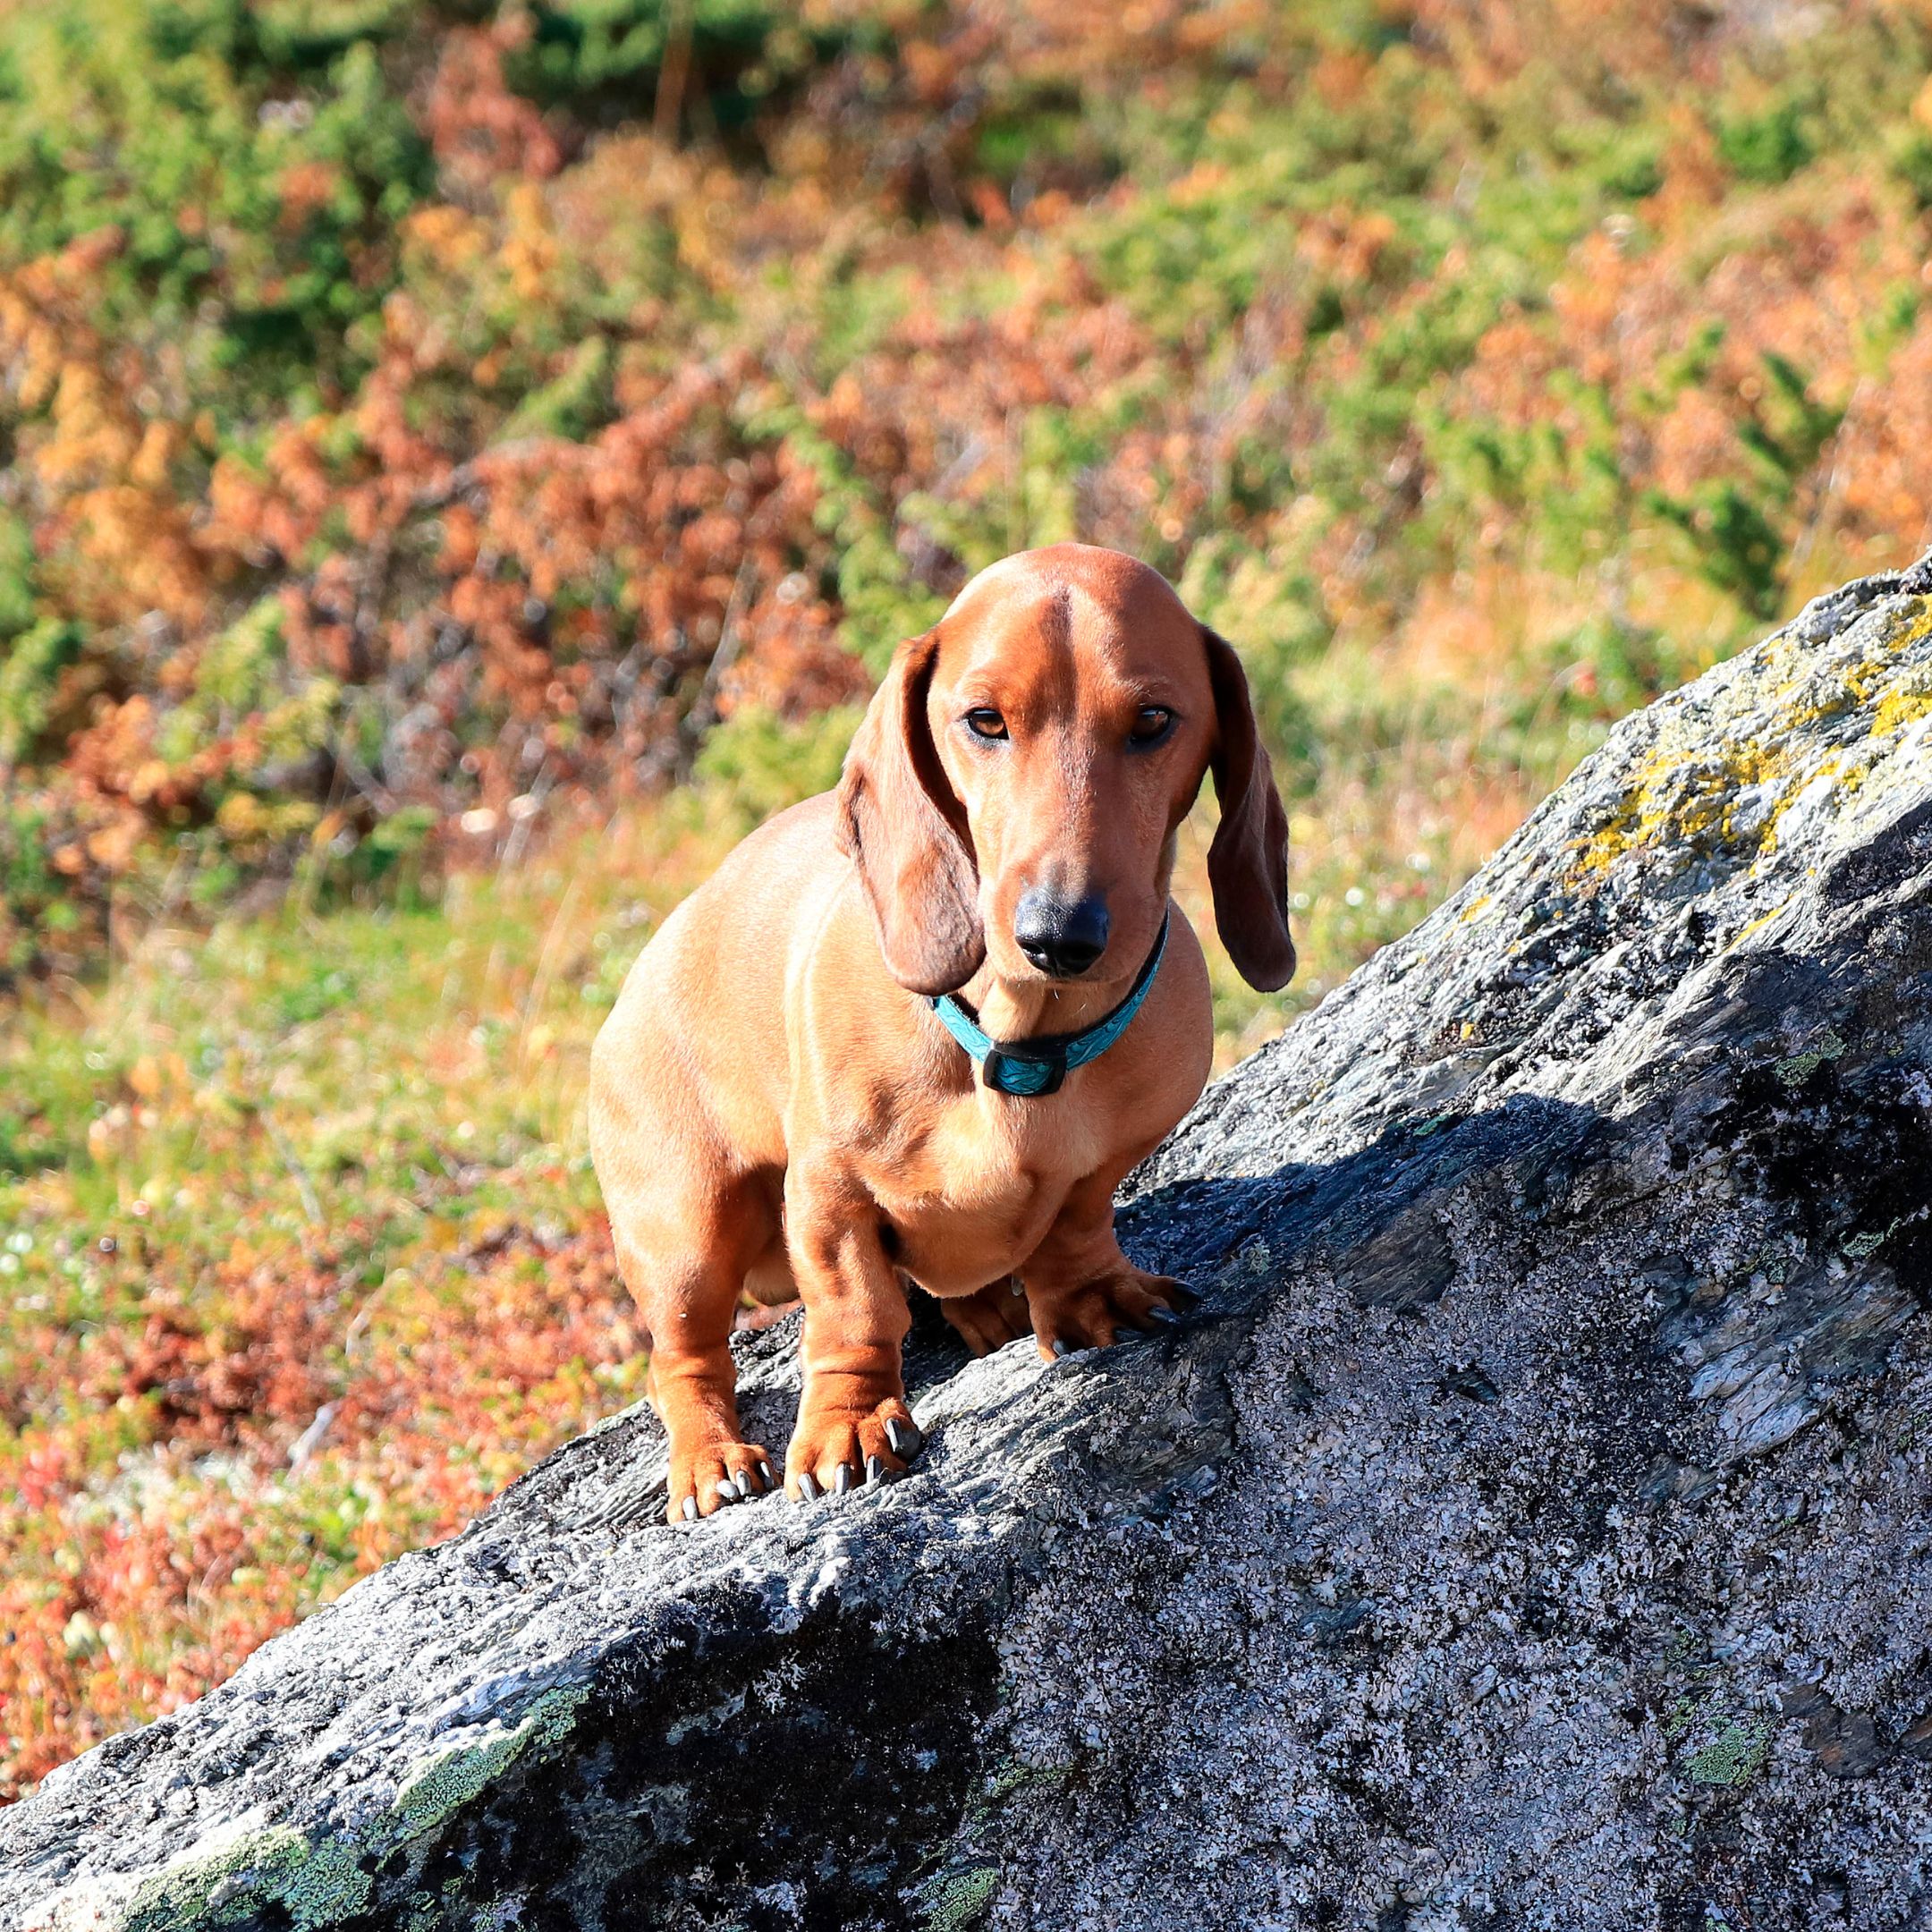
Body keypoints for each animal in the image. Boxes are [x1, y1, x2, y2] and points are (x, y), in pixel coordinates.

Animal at [580, 537, 1290, 1514]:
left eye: (1153, 719)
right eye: (984, 721)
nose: (1057, 935)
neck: (1018, 1046)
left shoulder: (1110, 1157)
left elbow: (1075, 1223)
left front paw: (1088, 1296)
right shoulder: (828, 1196)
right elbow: (853, 1312)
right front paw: (848, 1421)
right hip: (686, 1228)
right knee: (682, 1358)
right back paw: (709, 1458)